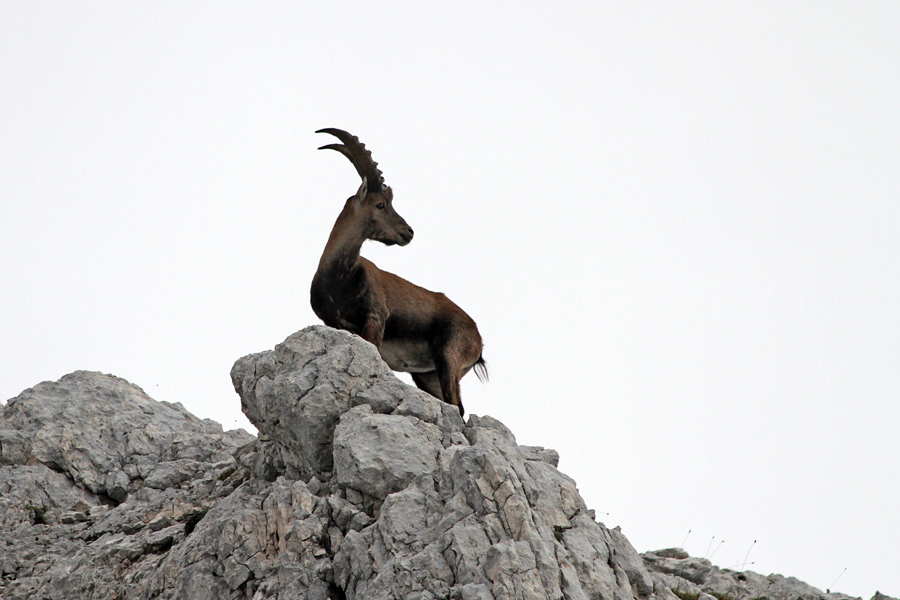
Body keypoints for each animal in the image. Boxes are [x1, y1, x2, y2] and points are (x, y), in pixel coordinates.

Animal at [310, 128, 486, 416]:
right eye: (381, 205)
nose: (408, 232)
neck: (339, 278)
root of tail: (478, 340)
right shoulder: (335, 323)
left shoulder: (376, 318)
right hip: (428, 375)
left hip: (449, 356)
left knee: (455, 405)